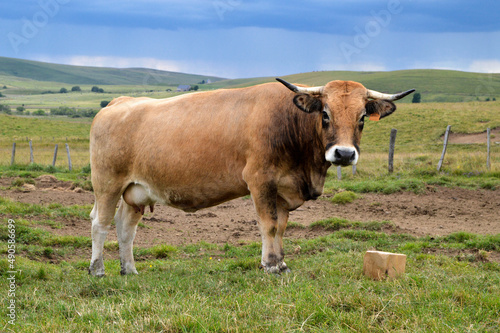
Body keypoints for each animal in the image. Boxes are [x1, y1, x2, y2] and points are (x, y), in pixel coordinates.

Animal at [87, 78, 414, 274]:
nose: (344, 154)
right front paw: (270, 266)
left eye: (362, 118)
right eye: (325, 114)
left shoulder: (283, 188)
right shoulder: (260, 180)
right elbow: (268, 225)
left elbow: (280, 228)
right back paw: (98, 268)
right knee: (100, 223)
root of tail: (118, 102)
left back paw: (129, 270)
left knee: (125, 228)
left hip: (135, 191)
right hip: (107, 184)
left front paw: (281, 263)